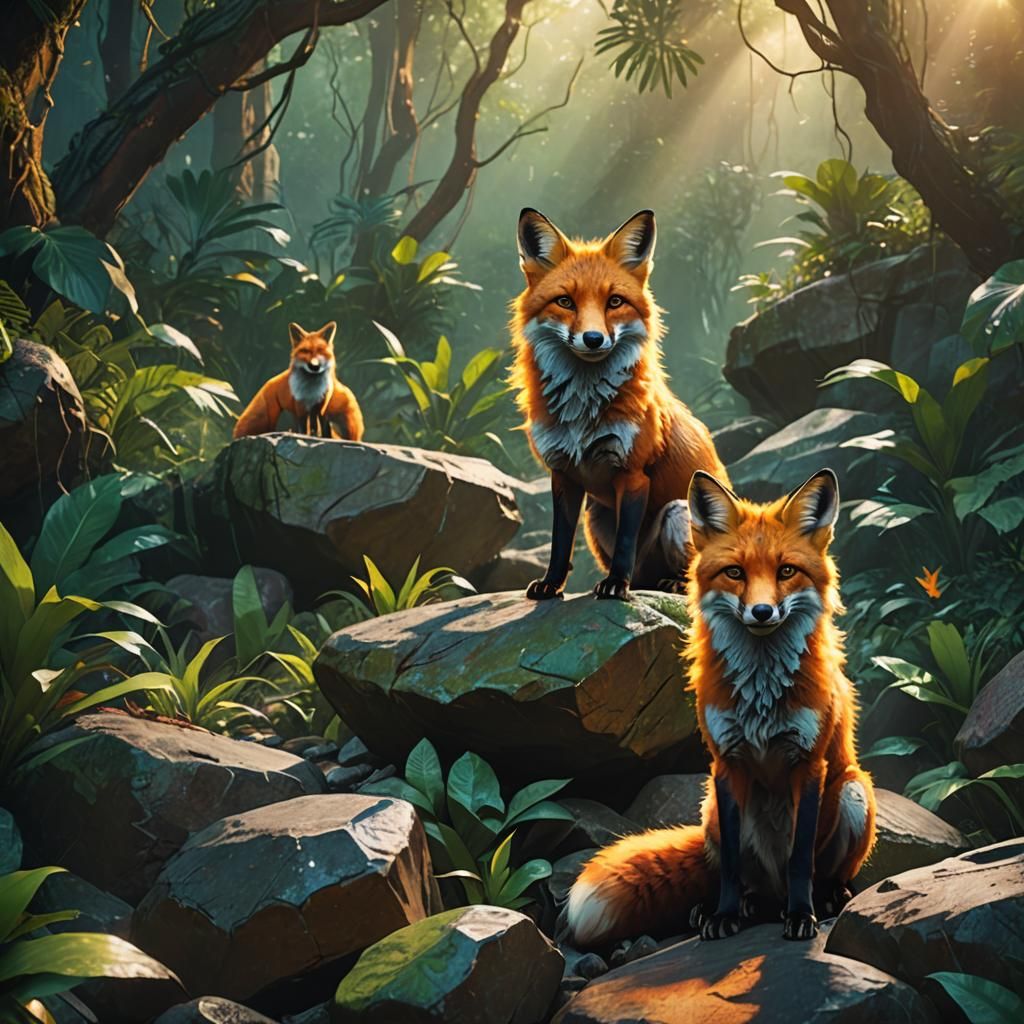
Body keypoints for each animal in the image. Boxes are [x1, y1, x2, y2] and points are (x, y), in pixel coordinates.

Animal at [233, 321, 364, 441]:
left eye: (320, 350)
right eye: (305, 351)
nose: (314, 366)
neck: (311, 389)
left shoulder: (320, 406)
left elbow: (318, 425)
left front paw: (320, 437)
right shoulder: (300, 405)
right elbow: (304, 427)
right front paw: (305, 436)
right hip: (277, 412)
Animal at [510, 207, 728, 600]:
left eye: (614, 302)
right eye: (565, 302)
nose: (594, 339)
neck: (583, 411)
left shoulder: (633, 471)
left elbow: (626, 541)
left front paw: (614, 585)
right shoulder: (563, 473)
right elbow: (560, 542)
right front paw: (552, 584)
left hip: (678, 511)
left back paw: (668, 583)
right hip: (595, 516)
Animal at [564, 468, 876, 945]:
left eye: (787, 571)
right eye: (735, 573)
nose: (763, 611)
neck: (762, 693)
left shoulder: (809, 764)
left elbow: (800, 859)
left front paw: (801, 916)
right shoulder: (727, 763)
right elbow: (729, 864)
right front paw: (724, 915)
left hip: (854, 791)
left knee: (819, 873)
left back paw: (824, 898)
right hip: (711, 808)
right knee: (744, 880)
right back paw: (732, 907)